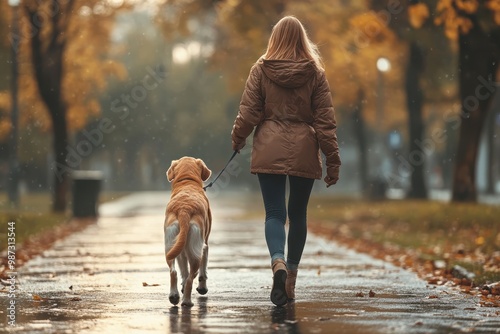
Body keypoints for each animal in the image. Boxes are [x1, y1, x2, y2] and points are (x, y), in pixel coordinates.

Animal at [164, 158, 211, 306]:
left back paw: (174, 296)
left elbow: (183, 271)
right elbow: (202, 272)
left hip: (171, 245)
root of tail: (184, 210)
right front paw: (202, 288)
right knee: (191, 277)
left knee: (173, 272)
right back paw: (187, 301)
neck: (187, 181)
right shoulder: (205, 245)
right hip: (196, 249)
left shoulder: (180, 250)